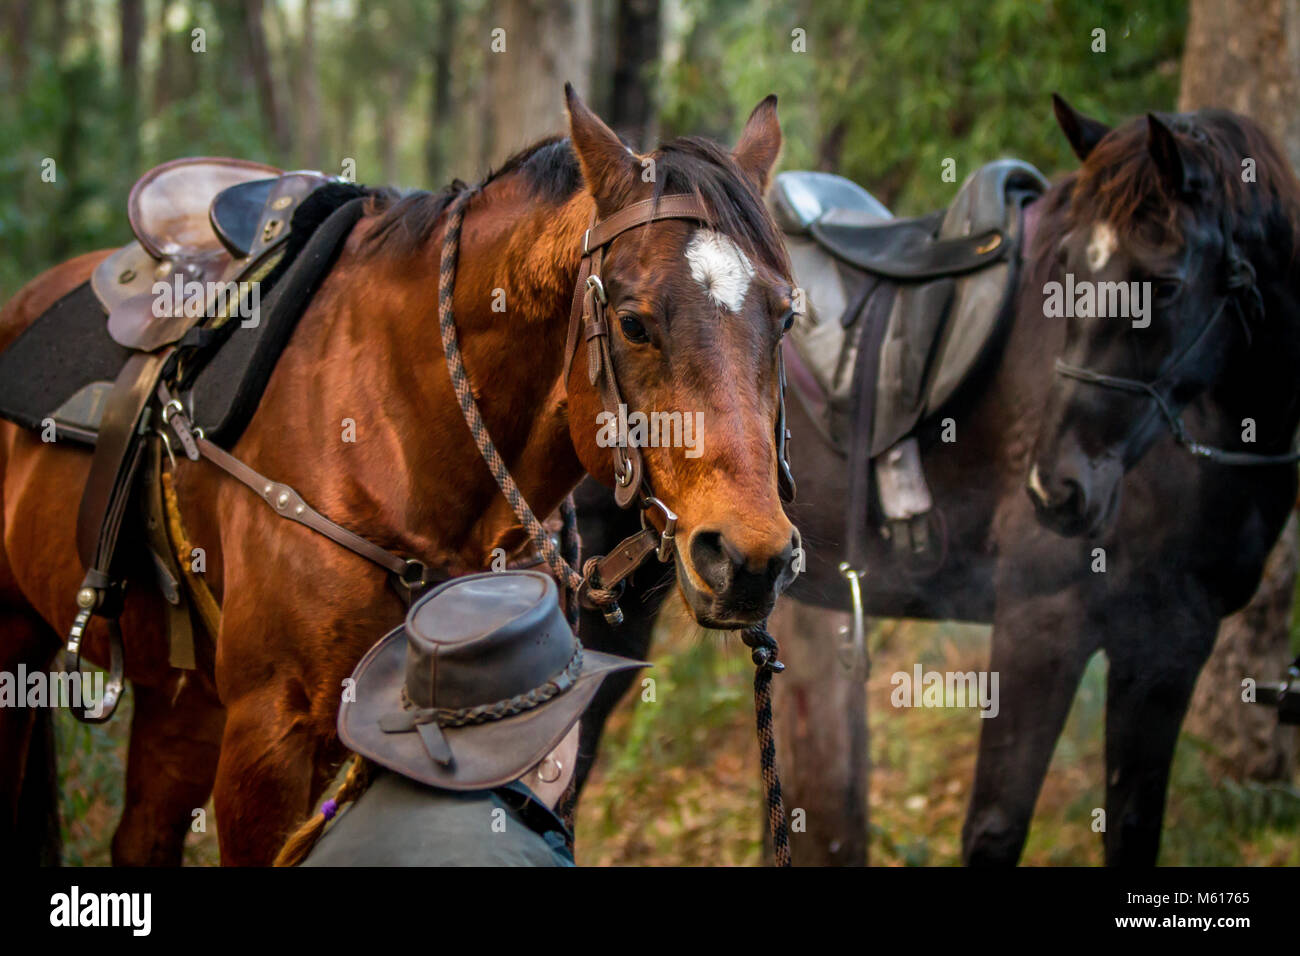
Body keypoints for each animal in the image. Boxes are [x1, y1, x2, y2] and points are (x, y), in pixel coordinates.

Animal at [0, 89, 795, 868]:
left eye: (786, 317)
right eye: (632, 323)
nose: (749, 557)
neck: (400, 430)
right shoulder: (270, 734)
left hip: (181, 698)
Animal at [574, 97, 1300, 868]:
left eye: (1162, 285)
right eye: (1065, 269)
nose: (1058, 489)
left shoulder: (1169, 646)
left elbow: (1133, 827)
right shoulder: (1045, 619)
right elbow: (995, 826)